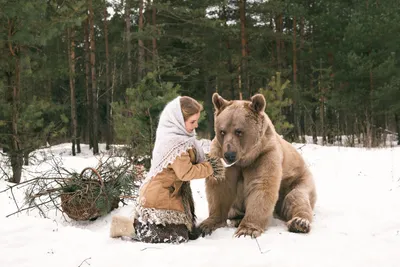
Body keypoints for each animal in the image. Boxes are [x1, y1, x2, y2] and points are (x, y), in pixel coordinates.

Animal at [198, 93, 318, 239]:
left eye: (239, 131)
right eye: (222, 131)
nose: (229, 155)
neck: (244, 160)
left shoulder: (264, 155)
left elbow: (261, 186)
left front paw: (247, 230)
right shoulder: (220, 156)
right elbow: (220, 186)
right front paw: (207, 224)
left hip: (299, 179)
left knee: (296, 198)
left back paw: (299, 223)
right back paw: (236, 217)